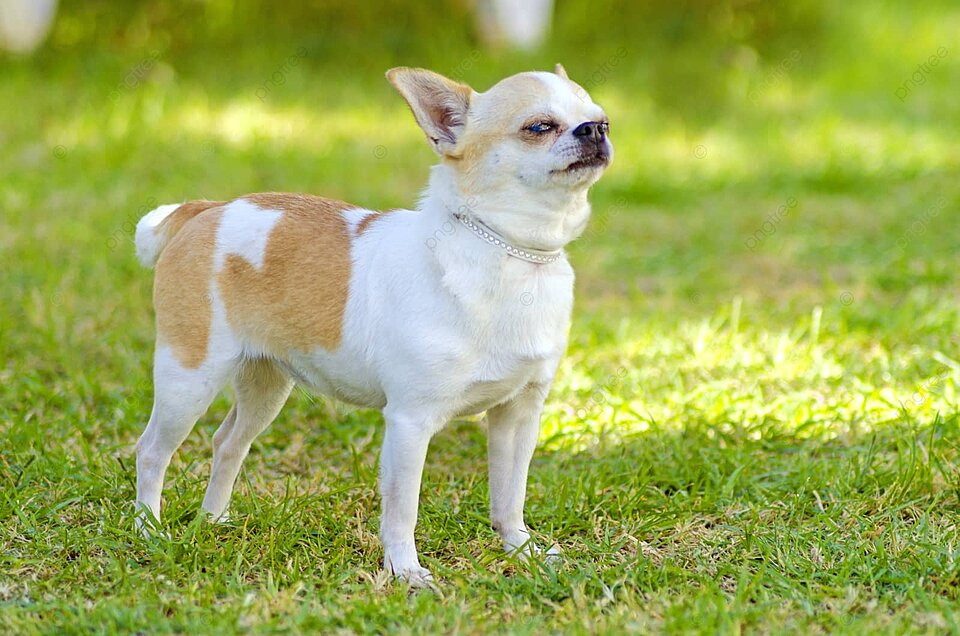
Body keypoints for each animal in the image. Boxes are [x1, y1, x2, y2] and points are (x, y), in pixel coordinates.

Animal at [131, 64, 612, 588]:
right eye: (538, 127)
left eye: (601, 117)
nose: (595, 129)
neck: (512, 254)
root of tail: (205, 210)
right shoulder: (409, 423)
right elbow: (402, 509)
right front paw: (405, 571)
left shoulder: (518, 415)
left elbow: (509, 495)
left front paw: (520, 550)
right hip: (189, 380)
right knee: (152, 451)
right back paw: (148, 529)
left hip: (265, 386)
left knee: (227, 443)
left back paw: (213, 519)